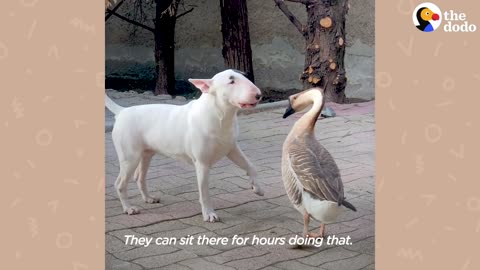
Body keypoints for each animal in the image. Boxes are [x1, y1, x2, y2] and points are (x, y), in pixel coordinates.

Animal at [105, 69, 264, 221]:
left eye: (245, 76)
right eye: (231, 81)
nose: (258, 95)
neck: (220, 115)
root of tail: (122, 111)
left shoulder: (232, 149)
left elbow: (250, 166)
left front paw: (257, 188)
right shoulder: (202, 163)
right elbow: (204, 192)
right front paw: (209, 214)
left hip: (146, 154)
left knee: (139, 177)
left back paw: (149, 198)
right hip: (130, 158)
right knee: (120, 184)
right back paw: (128, 208)